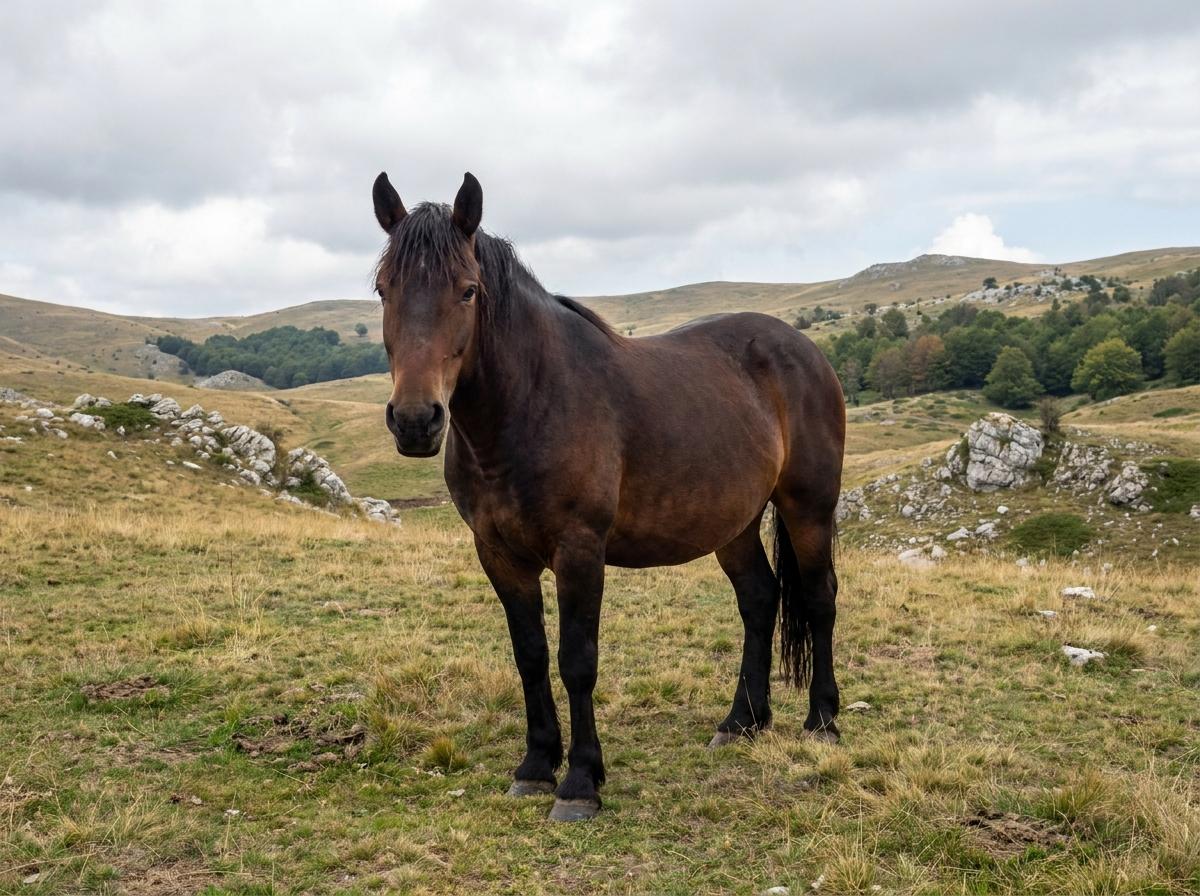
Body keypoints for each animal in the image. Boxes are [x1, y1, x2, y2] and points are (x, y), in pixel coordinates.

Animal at [371, 171, 846, 821]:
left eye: (468, 291)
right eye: (383, 290)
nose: (416, 421)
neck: (531, 404)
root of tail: (804, 349)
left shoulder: (579, 551)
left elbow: (577, 660)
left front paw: (580, 782)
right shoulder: (498, 555)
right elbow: (530, 656)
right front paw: (536, 766)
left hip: (809, 508)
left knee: (819, 598)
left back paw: (822, 721)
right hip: (735, 524)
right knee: (759, 600)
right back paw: (741, 722)